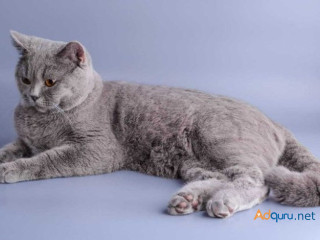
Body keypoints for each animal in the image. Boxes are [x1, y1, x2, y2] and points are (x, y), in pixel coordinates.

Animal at [0, 31, 320, 218]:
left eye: (50, 82)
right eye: (25, 78)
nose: (32, 95)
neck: (41, 121)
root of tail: (275, 121)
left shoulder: (95, 149)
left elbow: (46, 159)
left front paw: (9, 170)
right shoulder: (25, 141)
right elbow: (11, 148)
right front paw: (5, 159)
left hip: (218, 138)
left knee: (257, 181)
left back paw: (222, 201)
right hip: (193, 162)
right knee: (223, 177)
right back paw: (188, 200)